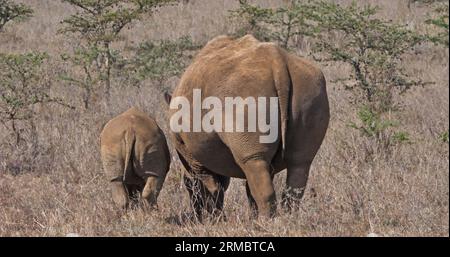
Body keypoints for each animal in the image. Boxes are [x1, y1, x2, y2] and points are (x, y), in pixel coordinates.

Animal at [165, 34, 330, 218]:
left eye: (187, 186)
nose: (197, 215)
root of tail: (277, 63)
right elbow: (239, 187)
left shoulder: (190, 154)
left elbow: (209, 185)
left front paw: (214, 218)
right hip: (309, 87)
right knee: (300, 161)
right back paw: (288, 218)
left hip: (242, 95)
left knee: (254, 160)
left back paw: (266, 221)